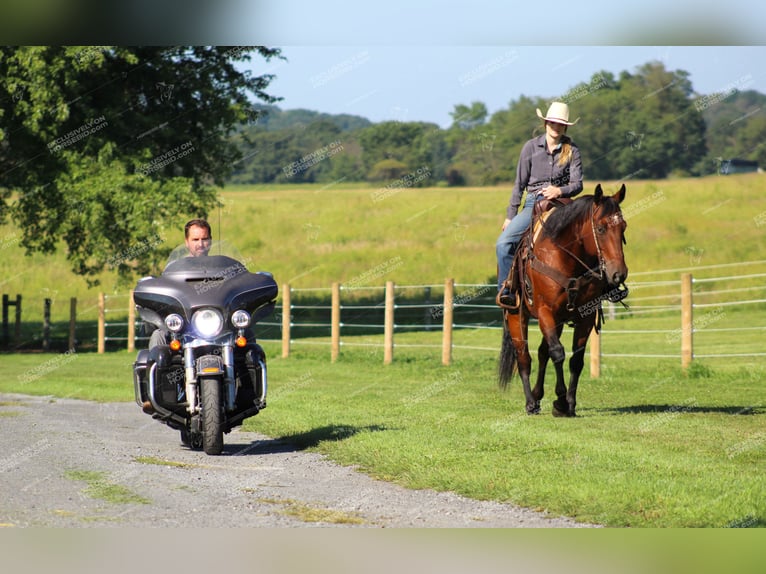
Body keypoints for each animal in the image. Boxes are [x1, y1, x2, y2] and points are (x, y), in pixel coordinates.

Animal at [498, 184, 632, 418]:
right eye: (600, 228)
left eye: (622, 227)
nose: (618, 274)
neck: (565, 255)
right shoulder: (545, 311)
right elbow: (558, 353)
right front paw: (560, 400)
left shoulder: (586, 316)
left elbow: (575, 360)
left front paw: (569, 403)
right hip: (517, 316)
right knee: (524, 357)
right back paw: (530, 403)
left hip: (557, 321)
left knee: (542, 352)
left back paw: (538, 395)